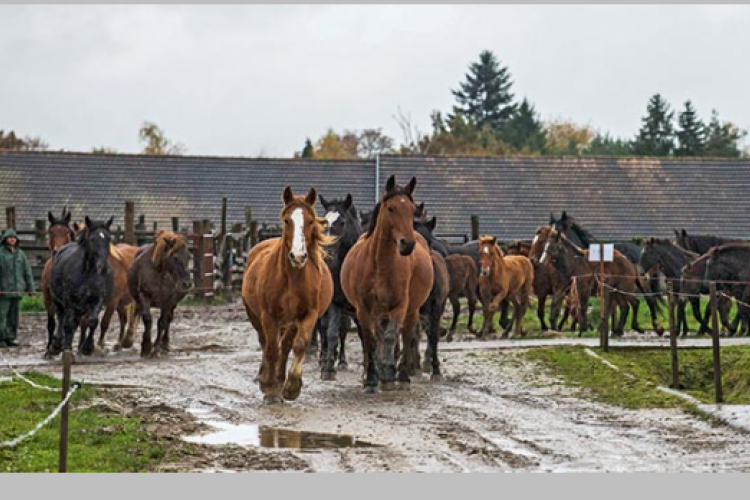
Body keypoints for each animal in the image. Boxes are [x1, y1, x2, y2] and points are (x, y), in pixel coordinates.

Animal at [47, 217, 114, 358]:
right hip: (58, 301)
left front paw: (87, 347)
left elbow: (93, 322)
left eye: (109, 238)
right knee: (61, 317)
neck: (88, 273)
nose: (103, 267)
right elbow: (68, 324)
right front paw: (67, 350)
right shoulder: (69, 301)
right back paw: (57, 345)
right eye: (92, 239)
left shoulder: (97, 299)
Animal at [127, 231, 192, 360]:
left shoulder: (168, 301)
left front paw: (155, 349)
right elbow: (147, 319)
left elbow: (162, 323)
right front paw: (146, 347)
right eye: (175, 257)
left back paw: (165, 345)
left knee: (168, 320)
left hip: (172, 304)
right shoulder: (144, 296)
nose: (186, 283)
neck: (159, 274)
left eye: (188, 257)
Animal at [242, 186, 334, 404]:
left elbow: (299, 345)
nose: (298, 256)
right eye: (286, 220)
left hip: (290, 322)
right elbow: (271, 350)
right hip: (256, 315)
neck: (292, 278)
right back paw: (266, 378)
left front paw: (291, 387)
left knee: (285, 346)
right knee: (266, 343)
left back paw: (279, 378)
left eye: (310, 221)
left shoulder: (308, 314)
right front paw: (270, 389)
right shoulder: (268, 315)